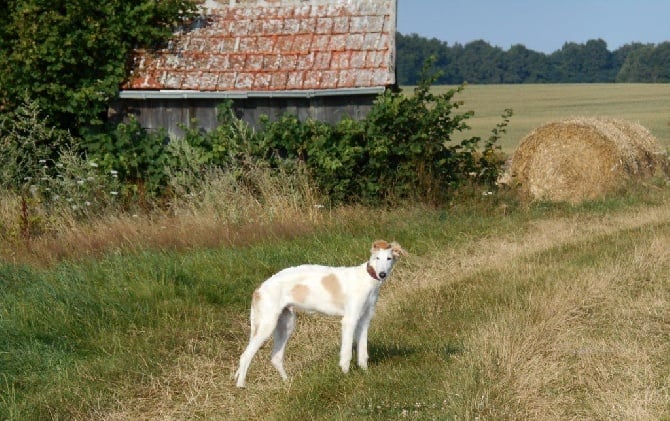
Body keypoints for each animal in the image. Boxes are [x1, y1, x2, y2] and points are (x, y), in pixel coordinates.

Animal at [234, 240, 406, 388]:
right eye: (377, 258)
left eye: (389, 258)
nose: (382, 274)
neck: (366, 279)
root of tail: (259, 289)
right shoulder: (349, 320)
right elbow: (346, 353)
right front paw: (345, 375)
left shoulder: (364, 320)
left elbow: (363, 352)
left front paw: (365, 373)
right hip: (267, 325)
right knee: (245, 355)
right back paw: (241, 385)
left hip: (286, 324)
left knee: (275, 357)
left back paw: (288, 382)